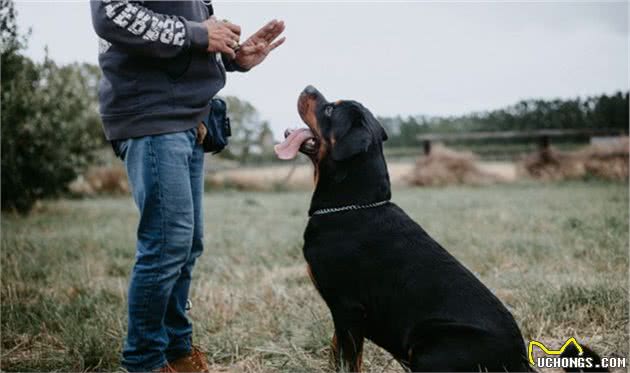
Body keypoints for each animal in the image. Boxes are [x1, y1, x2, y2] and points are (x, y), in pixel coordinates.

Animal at [274, 85, 604, 370]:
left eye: (330, 109)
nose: (308, 87)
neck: (355, 204)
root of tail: (519, 363)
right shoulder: (342, 316)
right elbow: (335, 355)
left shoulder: (347, 309)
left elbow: (346, 361)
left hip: (432, 346)